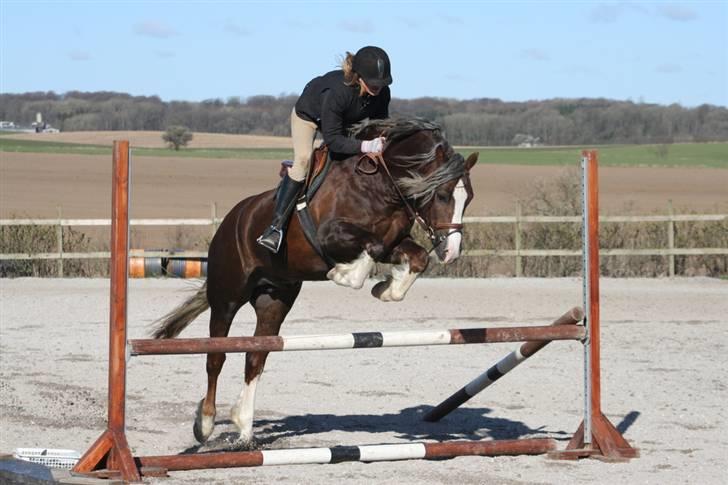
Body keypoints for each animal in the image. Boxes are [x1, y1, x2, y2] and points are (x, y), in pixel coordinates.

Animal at [149, 117, 478, 446]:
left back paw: (244, 427)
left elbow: (415, 256)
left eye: (469, 199)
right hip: (227, 297)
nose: (451, 252)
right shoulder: (330, 234)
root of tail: (231, 221)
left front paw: (386, 288)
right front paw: (345, 274)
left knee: (255, 356)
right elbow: (369, 249)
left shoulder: (393, 242)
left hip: (274, 299)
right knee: (215, 356)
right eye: (443, 195)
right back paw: (205, 423)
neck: (381, 186)